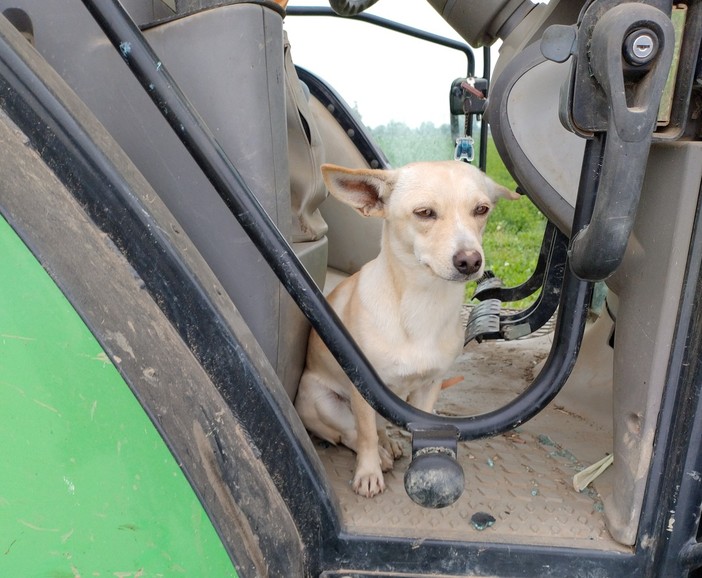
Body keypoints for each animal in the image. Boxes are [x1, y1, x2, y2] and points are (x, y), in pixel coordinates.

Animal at [294, 159, 520, 496]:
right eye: (424, 212)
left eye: (481, 210)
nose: (470, 260)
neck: (423, 303)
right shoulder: (364, 389)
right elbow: (365, 435)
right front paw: (369, 472)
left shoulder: (429, 387)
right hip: (319, 401)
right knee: (350, 433)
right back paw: (381, 456)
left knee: (379, 426)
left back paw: (390, 446)